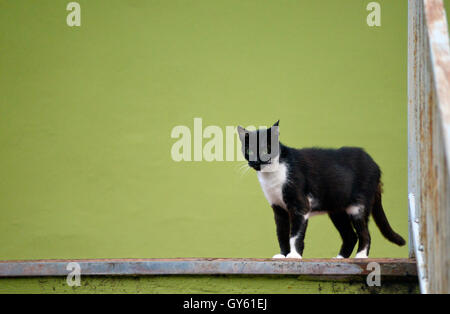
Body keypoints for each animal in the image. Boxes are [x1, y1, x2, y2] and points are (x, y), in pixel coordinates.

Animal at [237, 121, 406, 258]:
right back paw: (339, 259)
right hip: (337, 209)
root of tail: (376, 165)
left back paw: (361, 257)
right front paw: (283, 255)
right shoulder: (278, 208)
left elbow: (295, 234)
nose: (256, 162)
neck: (273, 175)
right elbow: (282, 233)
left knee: (365, 233)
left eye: (266, 150)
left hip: (358, 206)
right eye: (250, 151)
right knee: (350, 236)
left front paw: (294, 256)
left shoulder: (300, 205)